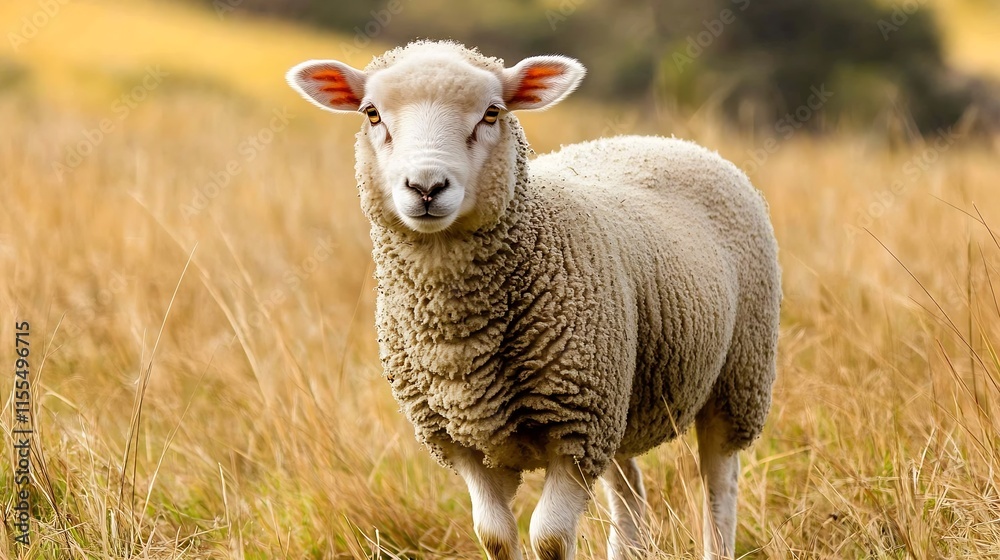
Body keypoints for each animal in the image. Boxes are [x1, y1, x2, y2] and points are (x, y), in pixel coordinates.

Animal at [286, 40, 781, 560]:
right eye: (372, 113)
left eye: (492, 112)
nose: (426, 187)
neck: (458, 337)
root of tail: (663, 140)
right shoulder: (467, 442)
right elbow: (495, 535)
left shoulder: (575, 432)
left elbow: (549, 536)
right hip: (618, 392)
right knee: (629, 494)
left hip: (736, 379)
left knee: (719, 485)